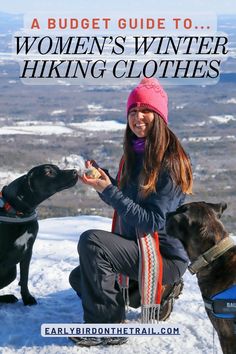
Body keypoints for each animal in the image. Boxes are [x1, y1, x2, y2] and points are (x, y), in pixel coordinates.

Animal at [0, 165, 78, 306]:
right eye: (48, 172)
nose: (75, 171)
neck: (19, 212)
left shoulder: (28, 251)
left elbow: (24, 278)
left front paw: (27, 298)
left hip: (11, 272)